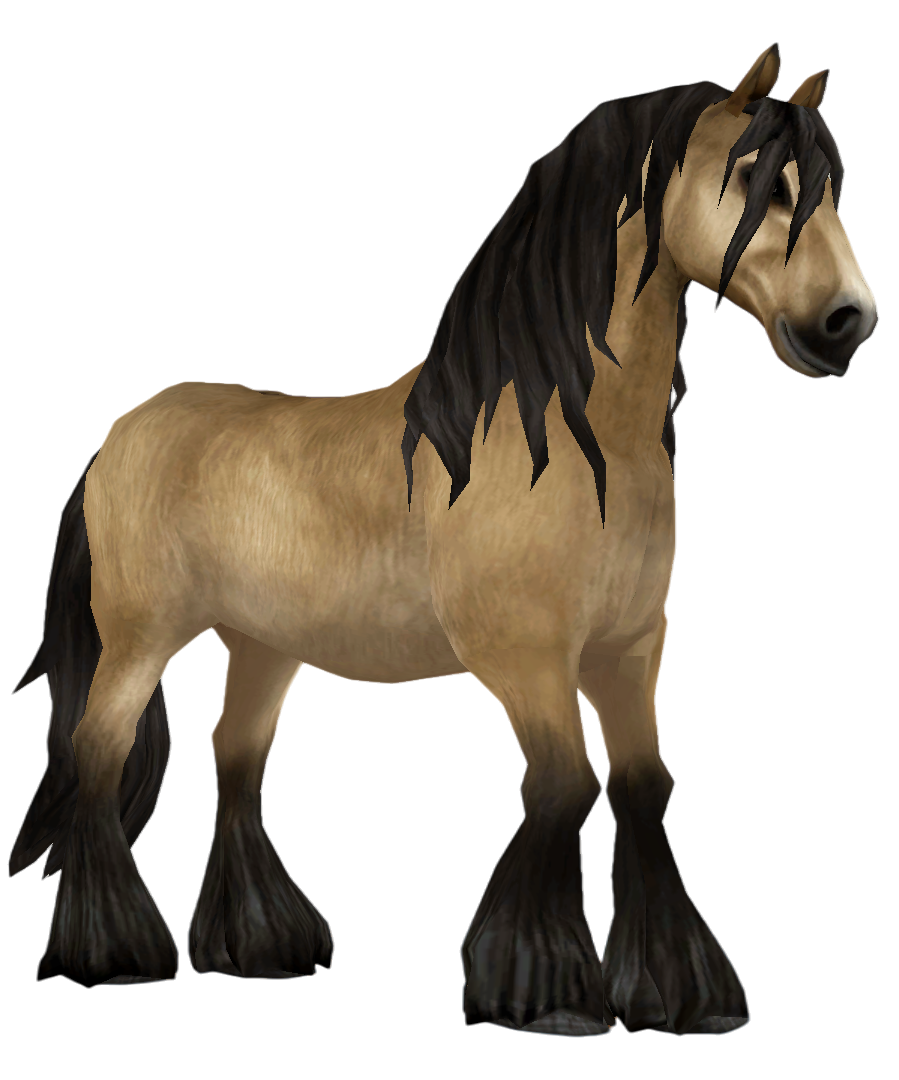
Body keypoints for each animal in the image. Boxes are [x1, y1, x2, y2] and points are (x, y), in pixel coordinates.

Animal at [10, 43, 877, 1035]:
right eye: (756, 180)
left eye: (828, 189)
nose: (848, 320)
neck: (569, 439)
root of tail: (121, 433)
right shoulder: (524, 658)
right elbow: (563, 783)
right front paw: (541, 989)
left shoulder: (628, 650)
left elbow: (642, 785)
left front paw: (682, 992)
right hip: (140, 638)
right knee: (97, 754)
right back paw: (114, 953)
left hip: (265, 646)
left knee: (236, 758)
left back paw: (261, 947)